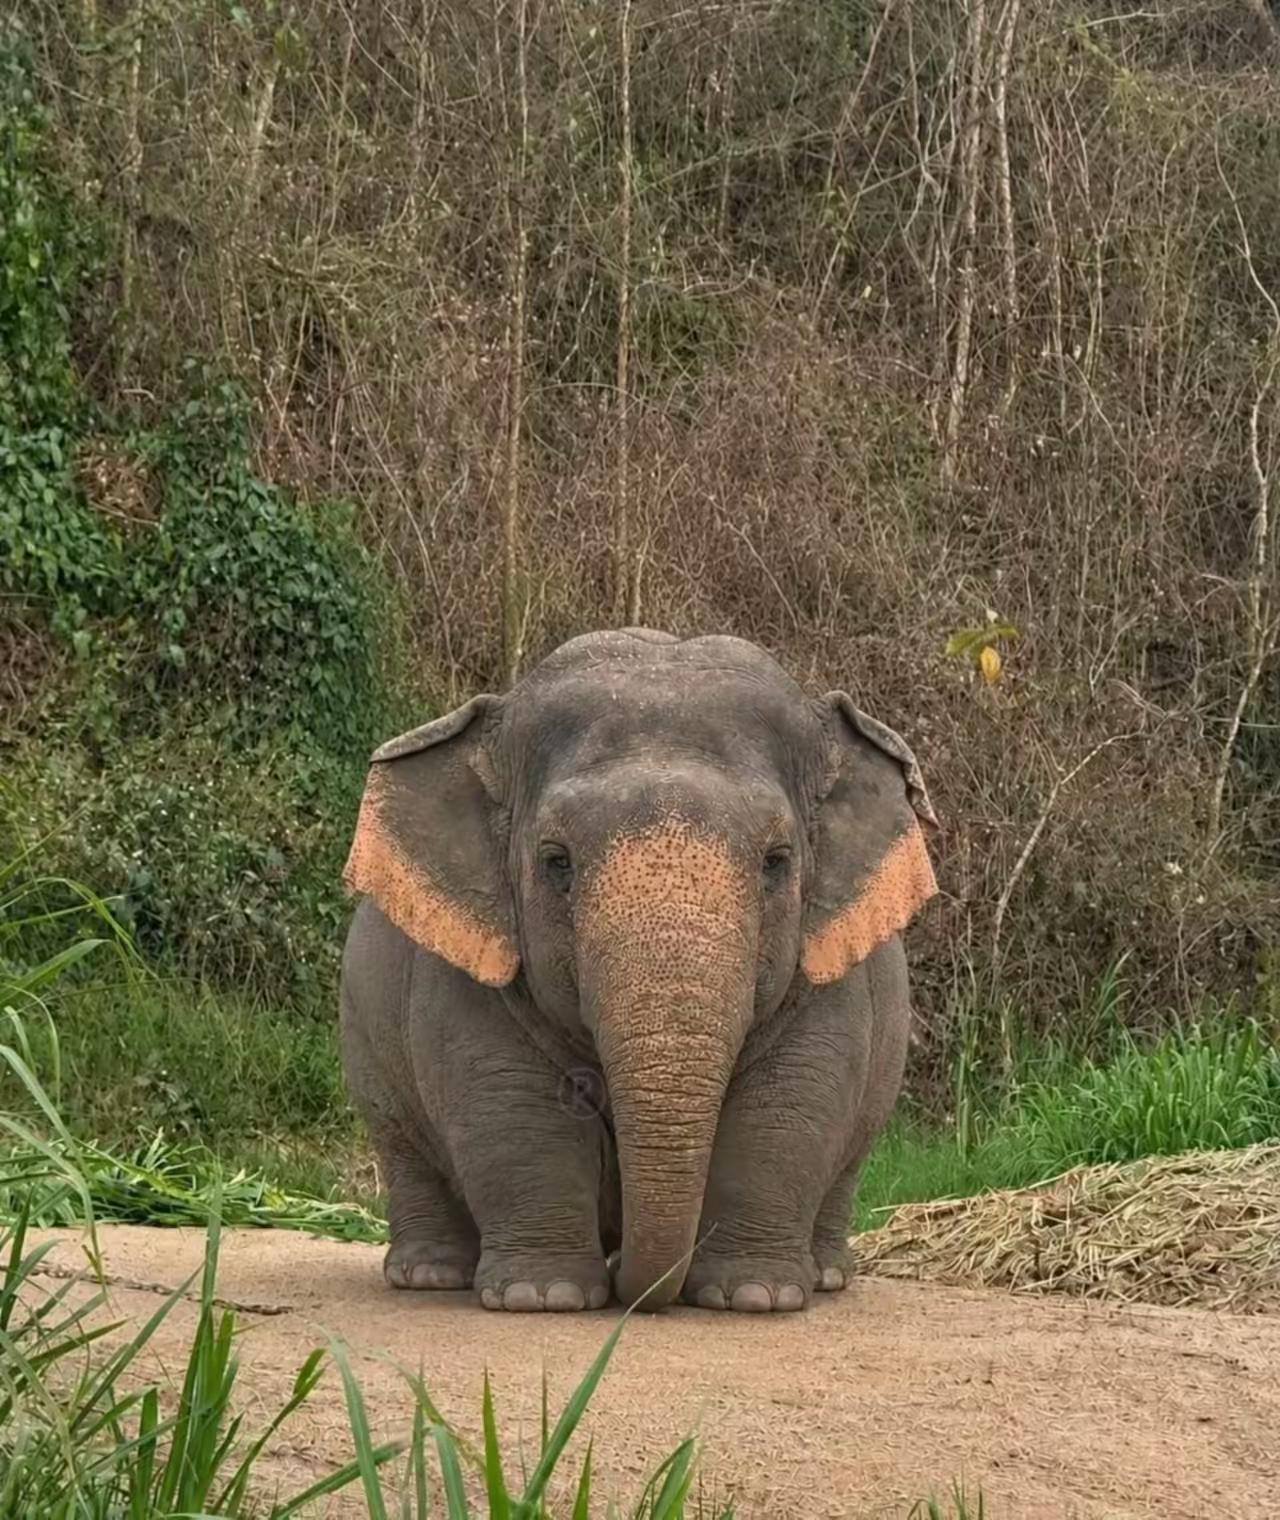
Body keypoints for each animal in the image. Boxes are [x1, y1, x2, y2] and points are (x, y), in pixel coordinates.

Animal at [339, 629, 938, 1314]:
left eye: (777, 861)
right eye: (556, 861)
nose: (633, 1281)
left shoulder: (827, 965)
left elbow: (789, 1101)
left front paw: (754, 1296)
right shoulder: (467, 966)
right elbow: (510, 1102)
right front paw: (542, 1296)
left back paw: (828, 1275)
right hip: (364, 1040)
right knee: (403, 1144)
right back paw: (430, 1275)